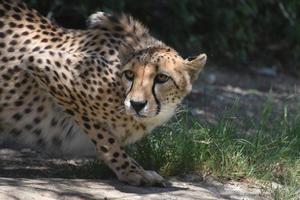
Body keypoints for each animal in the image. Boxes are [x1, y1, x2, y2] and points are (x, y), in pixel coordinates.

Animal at [0, 0, 206, 187]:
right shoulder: (42, 63)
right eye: (130, 74)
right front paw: (131, 171)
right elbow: (105, 136)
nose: (136, 104)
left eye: (162, 78)